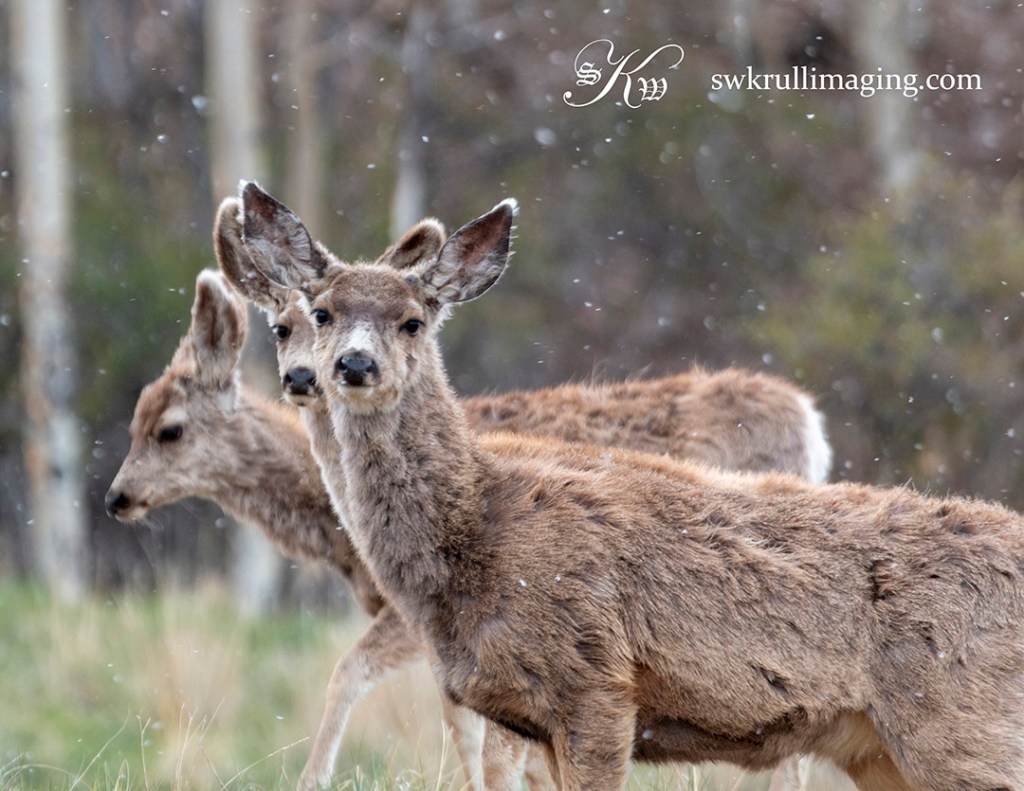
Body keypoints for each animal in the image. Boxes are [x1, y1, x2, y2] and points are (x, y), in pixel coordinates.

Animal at [235, 179, 1024, 791]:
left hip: (962, 722)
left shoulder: (598, 683)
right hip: (879, 747)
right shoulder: (529, 713)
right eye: (321, 313)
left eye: (412, 320)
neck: (478, 531)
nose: (352, 365)